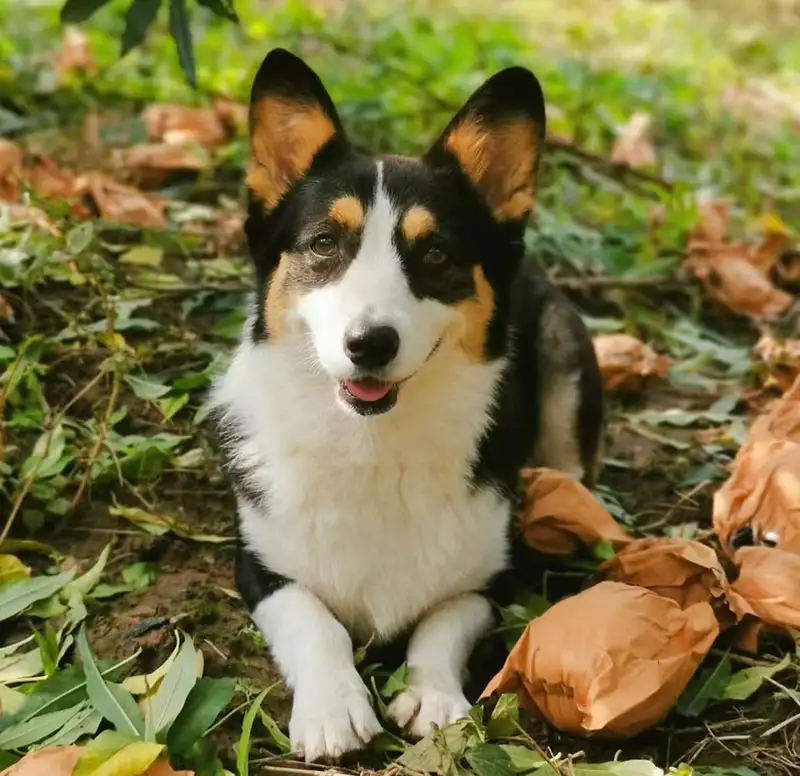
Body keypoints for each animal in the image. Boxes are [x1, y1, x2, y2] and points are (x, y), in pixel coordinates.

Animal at [209, 48, 604, 764]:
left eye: (437, 253)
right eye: (323, 244)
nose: (369, 344)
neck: (374, 444)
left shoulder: (491, 579)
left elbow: (443, 621)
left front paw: (434, 698)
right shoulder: (260, 566)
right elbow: (313, 620)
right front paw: (334, 708)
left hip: (564, 358)